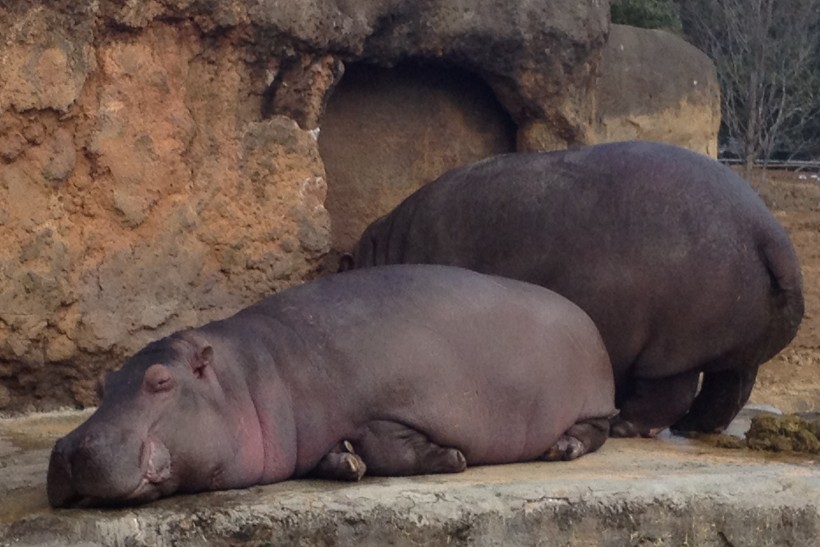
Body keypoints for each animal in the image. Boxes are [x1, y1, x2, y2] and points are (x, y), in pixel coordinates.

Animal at [48, 264, 616, 508]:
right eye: (104, 382)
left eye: (160, 381)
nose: (70, 448)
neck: (251, 378)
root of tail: (582, 313)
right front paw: (345, 462)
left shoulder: (391, 405)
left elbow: (389, 442)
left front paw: (449, 457)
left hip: (592, 403)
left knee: (593, 432)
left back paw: (561, 448)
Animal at [342, 141, 808, 436]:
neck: (389, 246)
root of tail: (768, 232)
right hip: (737, 347)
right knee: (728, 387)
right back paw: (691, 429)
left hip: (672, 347)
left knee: (671, 392)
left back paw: (626, 427)